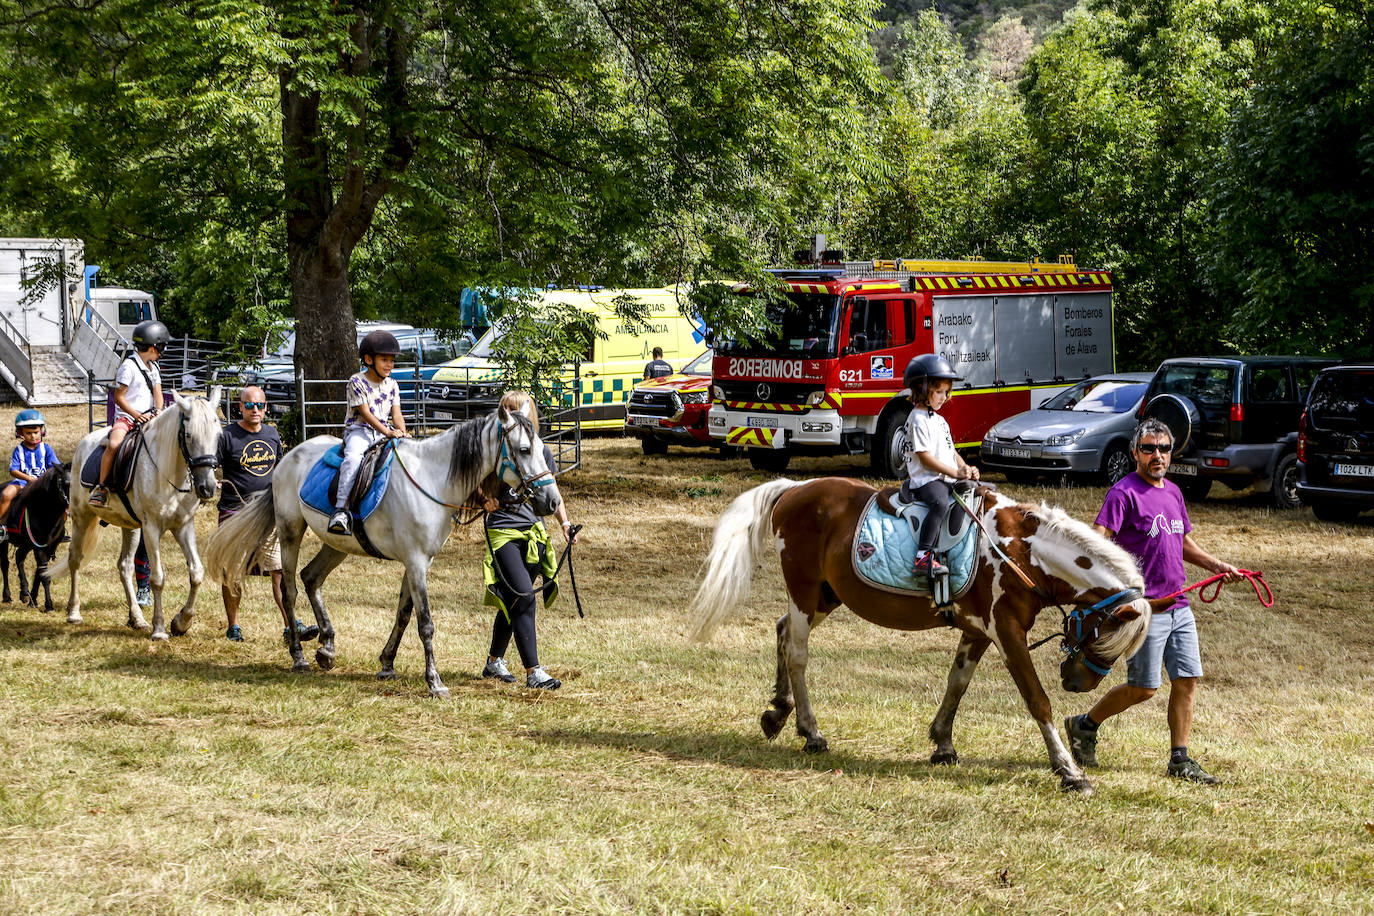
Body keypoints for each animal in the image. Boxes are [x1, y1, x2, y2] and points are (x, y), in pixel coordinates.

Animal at [3, 466, 71, 609]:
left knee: (19, 557)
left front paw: (32, 600)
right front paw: (49, 605)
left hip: (26, 544)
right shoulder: (38, 547)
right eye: (65, 483)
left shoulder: (49, 547)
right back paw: (7, 596)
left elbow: (40, 573)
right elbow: (44, 576)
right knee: (5, 564)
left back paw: (24, 592)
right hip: (5, 543)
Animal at [50, 390, 222, 642]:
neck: (168, 471)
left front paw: (181, 622)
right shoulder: (151, 528)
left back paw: (137, 618)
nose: (207, 487)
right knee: (75, 559)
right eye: (189, 436)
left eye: (218, 435)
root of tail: (84, 443)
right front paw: (159, 629)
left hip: (130, 527)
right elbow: (158, 578)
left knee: (125, 566)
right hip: (82, 517)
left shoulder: (183, 526)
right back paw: (74, 612)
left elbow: (196, 572)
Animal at [206, 401, 560, 694]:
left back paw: (327, 647)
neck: (432, 480)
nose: (552, 502)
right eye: (524, 450)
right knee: (290, 590)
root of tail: (288, 457)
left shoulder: (419, 562)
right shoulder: (415, 561)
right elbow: (425, 622)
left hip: (337, 543)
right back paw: (299, 656)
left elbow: (403, 614)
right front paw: (434, 682)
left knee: (311, 578)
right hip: (290, 532)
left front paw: (387, 664)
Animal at [692, 480, 1165, 796]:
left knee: (781, 629)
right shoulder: (1006, 631)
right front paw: (1069, 771)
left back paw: (778, 711)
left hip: (826, 595)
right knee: (797, 652)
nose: (1079, 683)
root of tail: (795, 490)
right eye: (1105, 637)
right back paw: (811, 732)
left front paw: (942, 743)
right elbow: (1037, 700)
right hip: (806, 592)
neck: (1022, 551)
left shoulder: (978, 630)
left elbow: (958, 682)